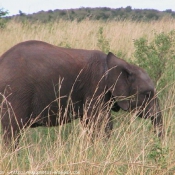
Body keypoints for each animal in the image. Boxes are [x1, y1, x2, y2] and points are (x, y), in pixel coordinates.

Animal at [0, 40, 163, 148]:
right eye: (147, 94)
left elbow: (90, 123)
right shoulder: (96, 87)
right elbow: (102, 124)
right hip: (15, 94)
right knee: (13, 132)